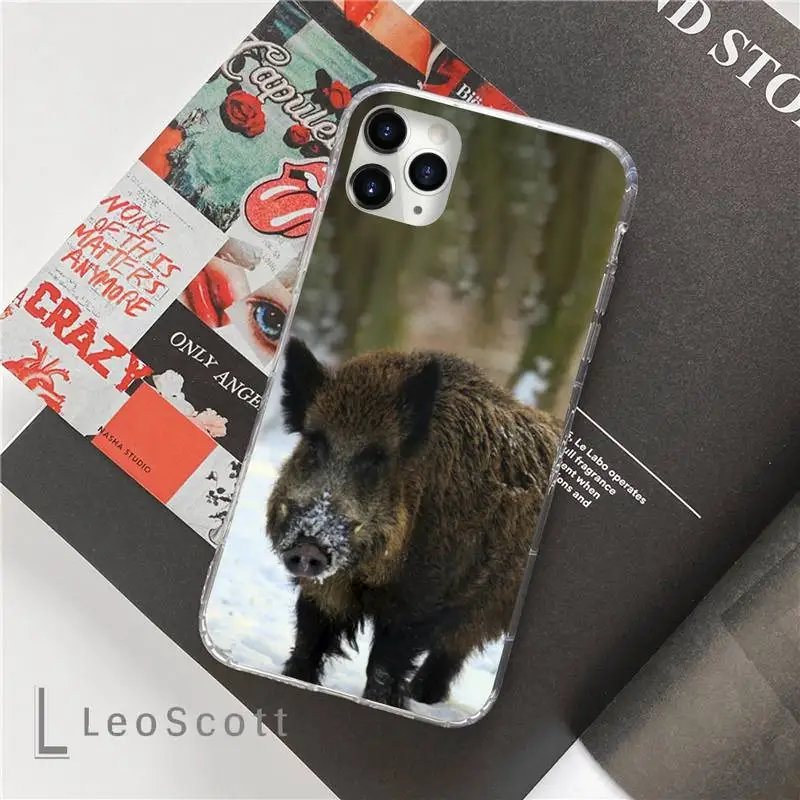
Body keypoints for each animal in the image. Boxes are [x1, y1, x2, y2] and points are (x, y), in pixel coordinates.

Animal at [266, 337, 562, 709]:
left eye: (376, 458)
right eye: (313, 442)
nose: (309, 547)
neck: (365, 574)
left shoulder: (422, 600)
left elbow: (384, 663)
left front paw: (384, 702)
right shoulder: (323, 589)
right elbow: (309, 638)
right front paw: (294, 679)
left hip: (488, 607)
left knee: (454, 649)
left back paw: (422, 697)